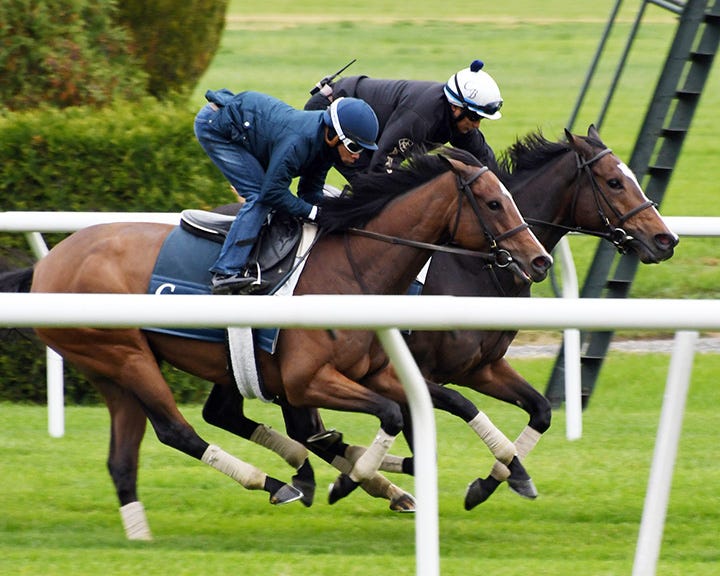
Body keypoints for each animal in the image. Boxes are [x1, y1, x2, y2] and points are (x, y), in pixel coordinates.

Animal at [0, 146, 552, 539]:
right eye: (493, 202)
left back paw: (146, 529)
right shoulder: (309, 379)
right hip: (123, 355)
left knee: (129, 455)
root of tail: (46, 266)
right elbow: (396, 416)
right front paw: (351, 478)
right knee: (177, 431)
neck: (353, 269)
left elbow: (432, 410)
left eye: (509, 197)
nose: (539, 260)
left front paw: (505, 474)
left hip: (110, 368)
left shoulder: (382, 372)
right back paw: (275, 481)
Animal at [304, 125, 679, 509]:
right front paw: (351, 478)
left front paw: (496, 481)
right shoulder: (412, 371)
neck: (476, 267)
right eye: (614, 182)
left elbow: (540, 410)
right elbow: (424, 445)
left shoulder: (481, 367)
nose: (667, 239)